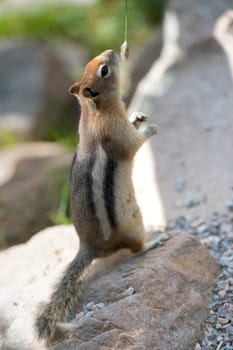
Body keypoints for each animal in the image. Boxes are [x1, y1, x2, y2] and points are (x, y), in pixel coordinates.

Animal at [35, 48, 169, 344]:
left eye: (94, 64)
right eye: (104, 71)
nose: (111, 51)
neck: (93, 113)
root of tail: (88, 246)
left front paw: (138, 116)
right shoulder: (118, 135)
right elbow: (134, 143)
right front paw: (150, 128)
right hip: (135, 224)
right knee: (136, 250)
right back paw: (156, 241)